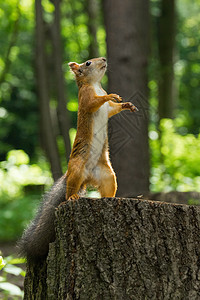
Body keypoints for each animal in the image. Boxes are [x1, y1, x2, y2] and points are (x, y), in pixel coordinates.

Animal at [18, 57, 138, 258]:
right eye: (88, 63)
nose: (103, 59)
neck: (95, 85)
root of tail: (87, 178)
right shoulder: (85, 97)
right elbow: (93, 103)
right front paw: (111, 95)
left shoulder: (107, 109)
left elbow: (112, 110)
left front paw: (126, 105)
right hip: (76, 169)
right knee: (68, 193)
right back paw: (73, 197)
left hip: (107, 175)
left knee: (107, 188)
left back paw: (111, 198)